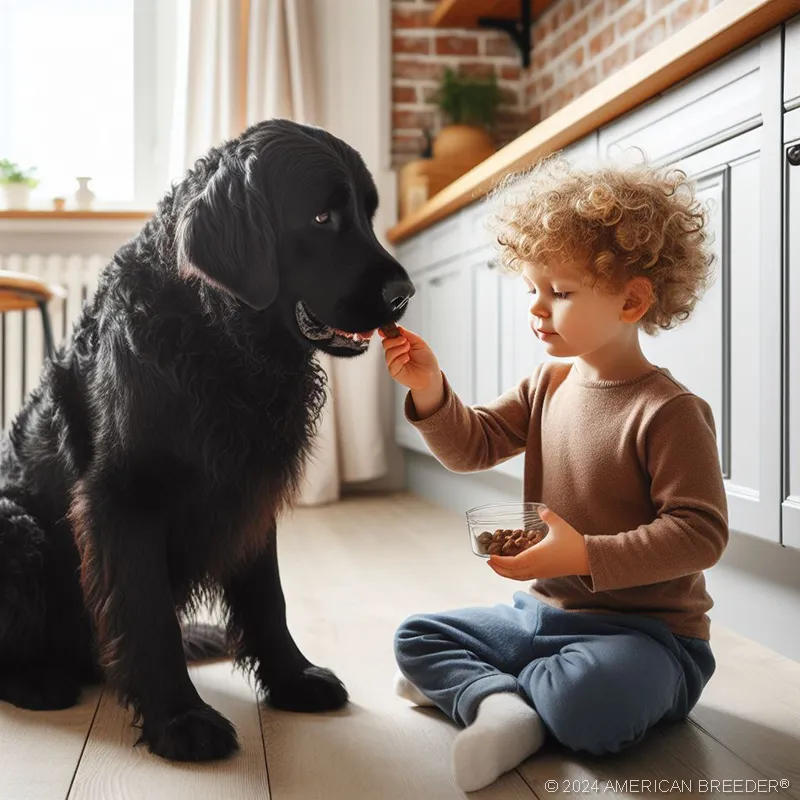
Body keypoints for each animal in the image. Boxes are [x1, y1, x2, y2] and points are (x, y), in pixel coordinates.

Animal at [0, 119, 412, 764]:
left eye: (370, 215)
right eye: (322, 218)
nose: (406, 293)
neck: (218, 340)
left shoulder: (251, 491)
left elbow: (268, 598)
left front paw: (292, 677)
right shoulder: (124, 499)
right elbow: (147, 614)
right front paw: (180, 718)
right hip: (15, 525)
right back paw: (40, 681)